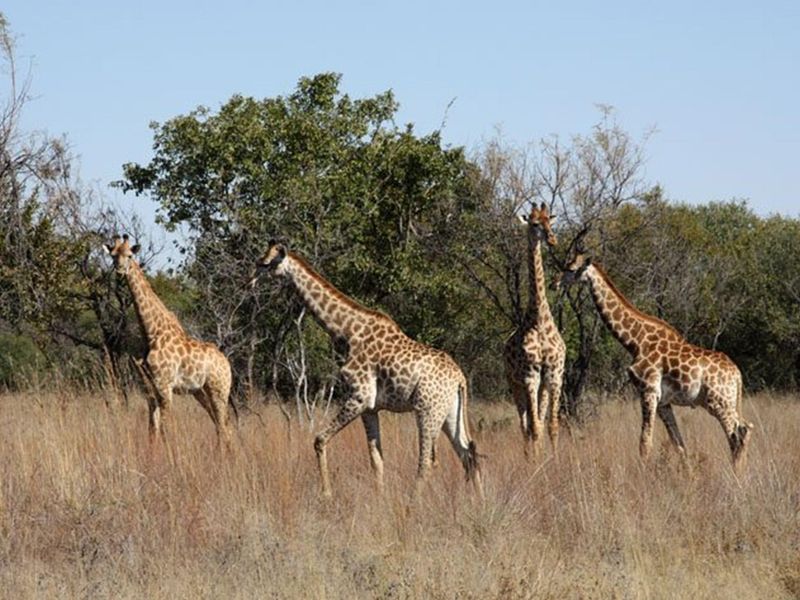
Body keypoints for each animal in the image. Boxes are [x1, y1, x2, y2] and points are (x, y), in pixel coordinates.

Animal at [104, 235, 235, 447]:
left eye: (130, 255)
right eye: (113, 255)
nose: (120, 270)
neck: (152, 332)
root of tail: (226, 363)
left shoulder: (165, 387)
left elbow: (165, 429)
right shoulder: (150, 389)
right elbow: (152, 430)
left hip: (220, 390)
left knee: (224, 426)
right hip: (201, 391)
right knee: (220, 424)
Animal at [250, 241, 482, 497]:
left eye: (265, 263)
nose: (250, 280)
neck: (345, 330)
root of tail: (460, 378)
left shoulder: (359, 396)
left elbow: (319, 439)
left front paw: (327, 494)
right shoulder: (370, 408)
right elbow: (376, 459)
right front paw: (379, 497)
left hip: (427, 410)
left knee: (428, 461)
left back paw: (414, 502)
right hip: (450, 412)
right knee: (468, 454)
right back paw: (479, 502)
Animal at [558, 253, 752, 470]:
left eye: (571, 269)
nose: (555, 282)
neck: (635, 341)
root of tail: (737, 374)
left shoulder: (648, 391)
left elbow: (645, 442)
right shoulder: (663, 401)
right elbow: (678, 443)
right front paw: (687, 473)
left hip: (718, 401)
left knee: (738, 434)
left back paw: (737, 473)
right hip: (728, 401)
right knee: (743, 429)